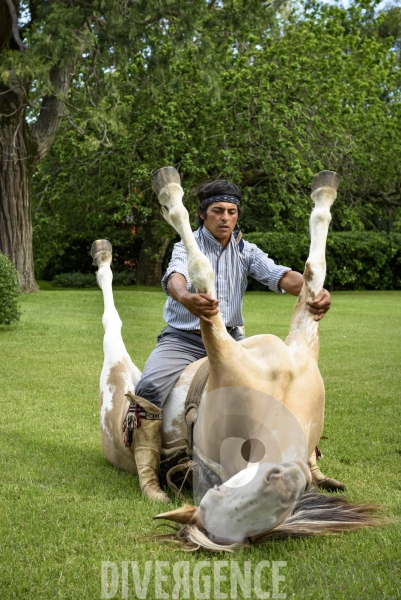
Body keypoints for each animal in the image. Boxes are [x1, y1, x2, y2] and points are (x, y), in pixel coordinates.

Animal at [92, 170, 376, 552]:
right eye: (218, 495)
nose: (285, 476)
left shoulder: (303, 337)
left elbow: (312, 273)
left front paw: (325, 189)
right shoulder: (221, 347)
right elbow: (200, 269)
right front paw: (170, 192)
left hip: (119, 375)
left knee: (112, 327)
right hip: (118, 379)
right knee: (113, 328)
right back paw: (109, 248)